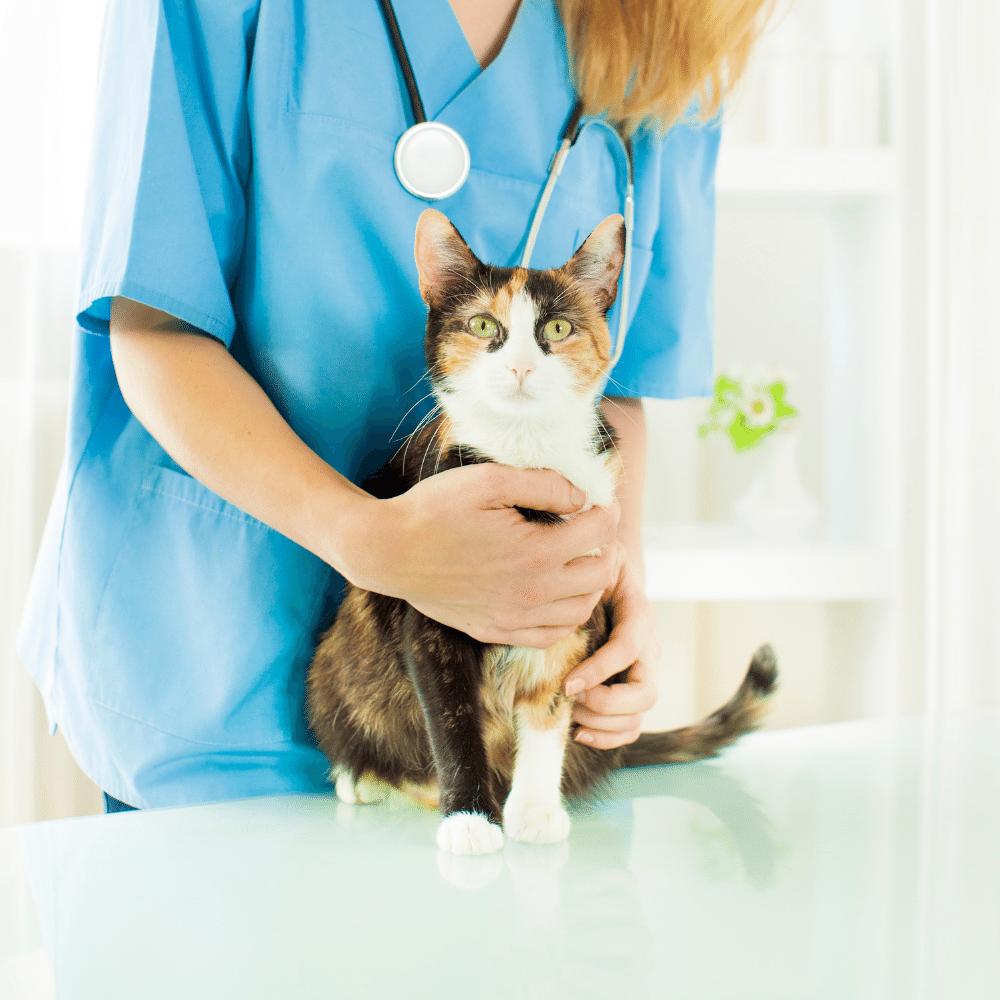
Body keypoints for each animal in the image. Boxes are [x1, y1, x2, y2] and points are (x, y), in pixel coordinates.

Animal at [306, 207, 780, 856]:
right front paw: (470, 817)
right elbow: (452, 721)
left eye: (557, 328)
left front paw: (533, 808)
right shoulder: (431, 612)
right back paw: (368, 775)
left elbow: (550, 707)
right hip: (337, 659)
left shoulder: (574, 602)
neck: (526, 455)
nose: (521, 365)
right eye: (483, 324)